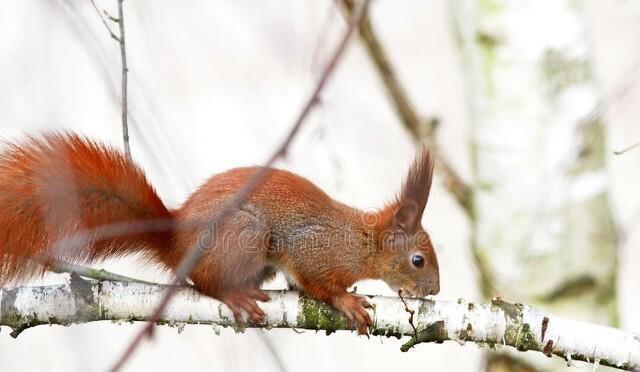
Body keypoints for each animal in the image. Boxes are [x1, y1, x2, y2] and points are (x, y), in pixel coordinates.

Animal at [0, 132, 440, 332]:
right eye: (418, 260)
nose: (435, 291)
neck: (364, 243)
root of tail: (177, 243)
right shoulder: (316, 249)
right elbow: (317, 282)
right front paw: (346, 301)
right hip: (245, 233)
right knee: (206, 282)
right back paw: (234, 294)